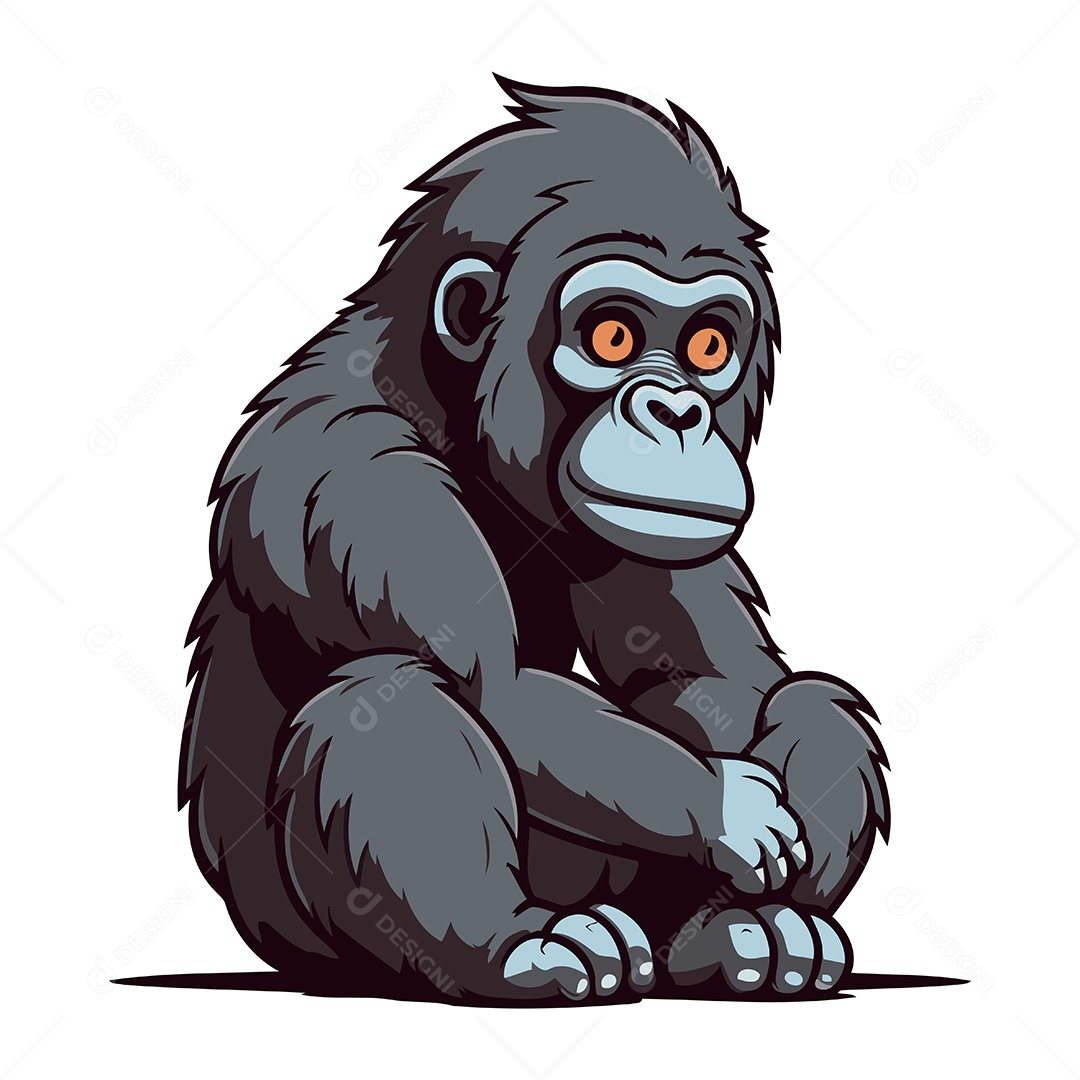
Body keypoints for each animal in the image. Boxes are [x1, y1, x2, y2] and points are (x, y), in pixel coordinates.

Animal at [180, 77, 889, 1003]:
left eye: (708, 344)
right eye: (614, 334)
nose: (676, 411)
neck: (447, 411)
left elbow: (718, 680)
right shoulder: (352, 478)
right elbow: (497, 685)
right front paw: (730, 808)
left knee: (807, 700)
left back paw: (738, 932)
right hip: (324, 939)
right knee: (393, 696)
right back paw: (521, 948)